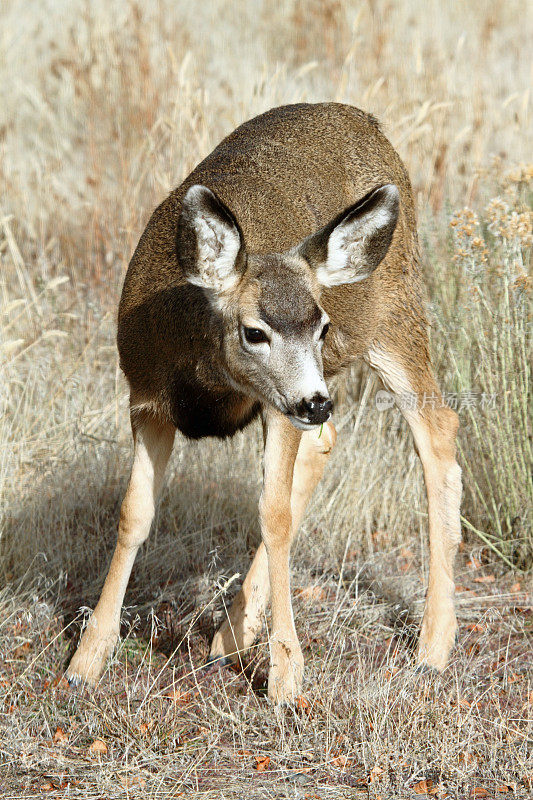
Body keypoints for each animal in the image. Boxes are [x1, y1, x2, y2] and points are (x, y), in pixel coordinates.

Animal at [67, 103, 462, 704]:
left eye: (321, 326)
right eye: (255, 332)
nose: (317, 402)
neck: (209, 381)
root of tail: (366, 120)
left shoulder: (277, 408)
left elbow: (273, 515)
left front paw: (285, 673)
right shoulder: (146, 399)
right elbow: (134, 513)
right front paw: (87, 658)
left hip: (394, 314)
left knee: (437, 430)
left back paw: (433, 646)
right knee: (330, 442)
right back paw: (229, 637)